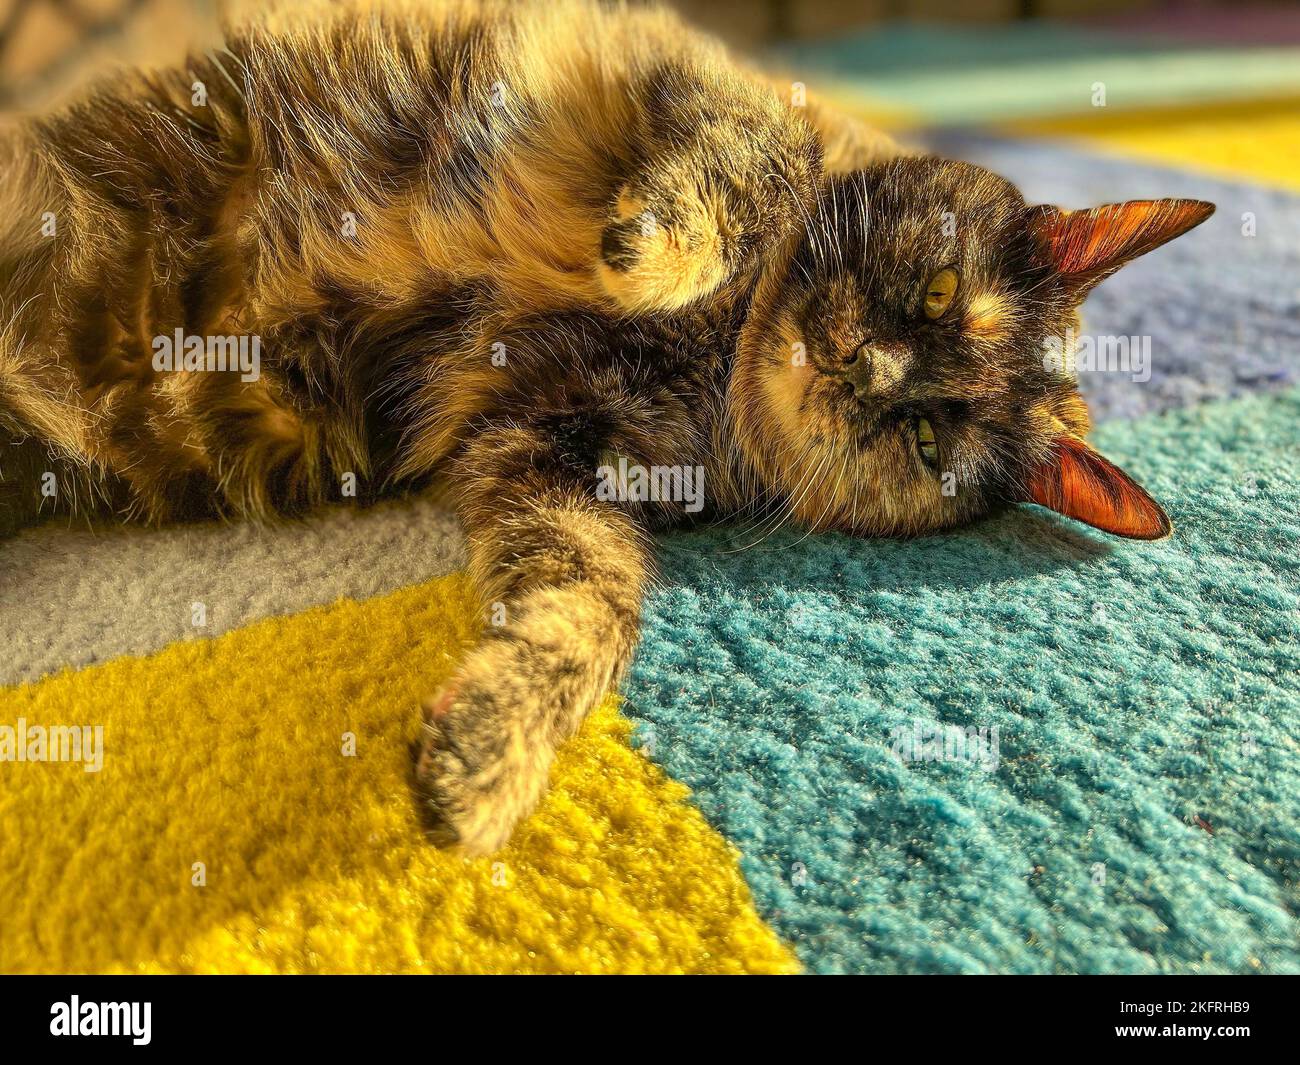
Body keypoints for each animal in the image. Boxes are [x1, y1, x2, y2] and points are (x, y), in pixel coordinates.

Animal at [2, 0, 1216, 847]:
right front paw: (650, 254)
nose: (859, 367)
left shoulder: (545, 456)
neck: (717, 354)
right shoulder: (679, 69)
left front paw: (488, 754)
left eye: (925, 440)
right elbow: (742, 170)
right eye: (935, 293)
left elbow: (590, 609)